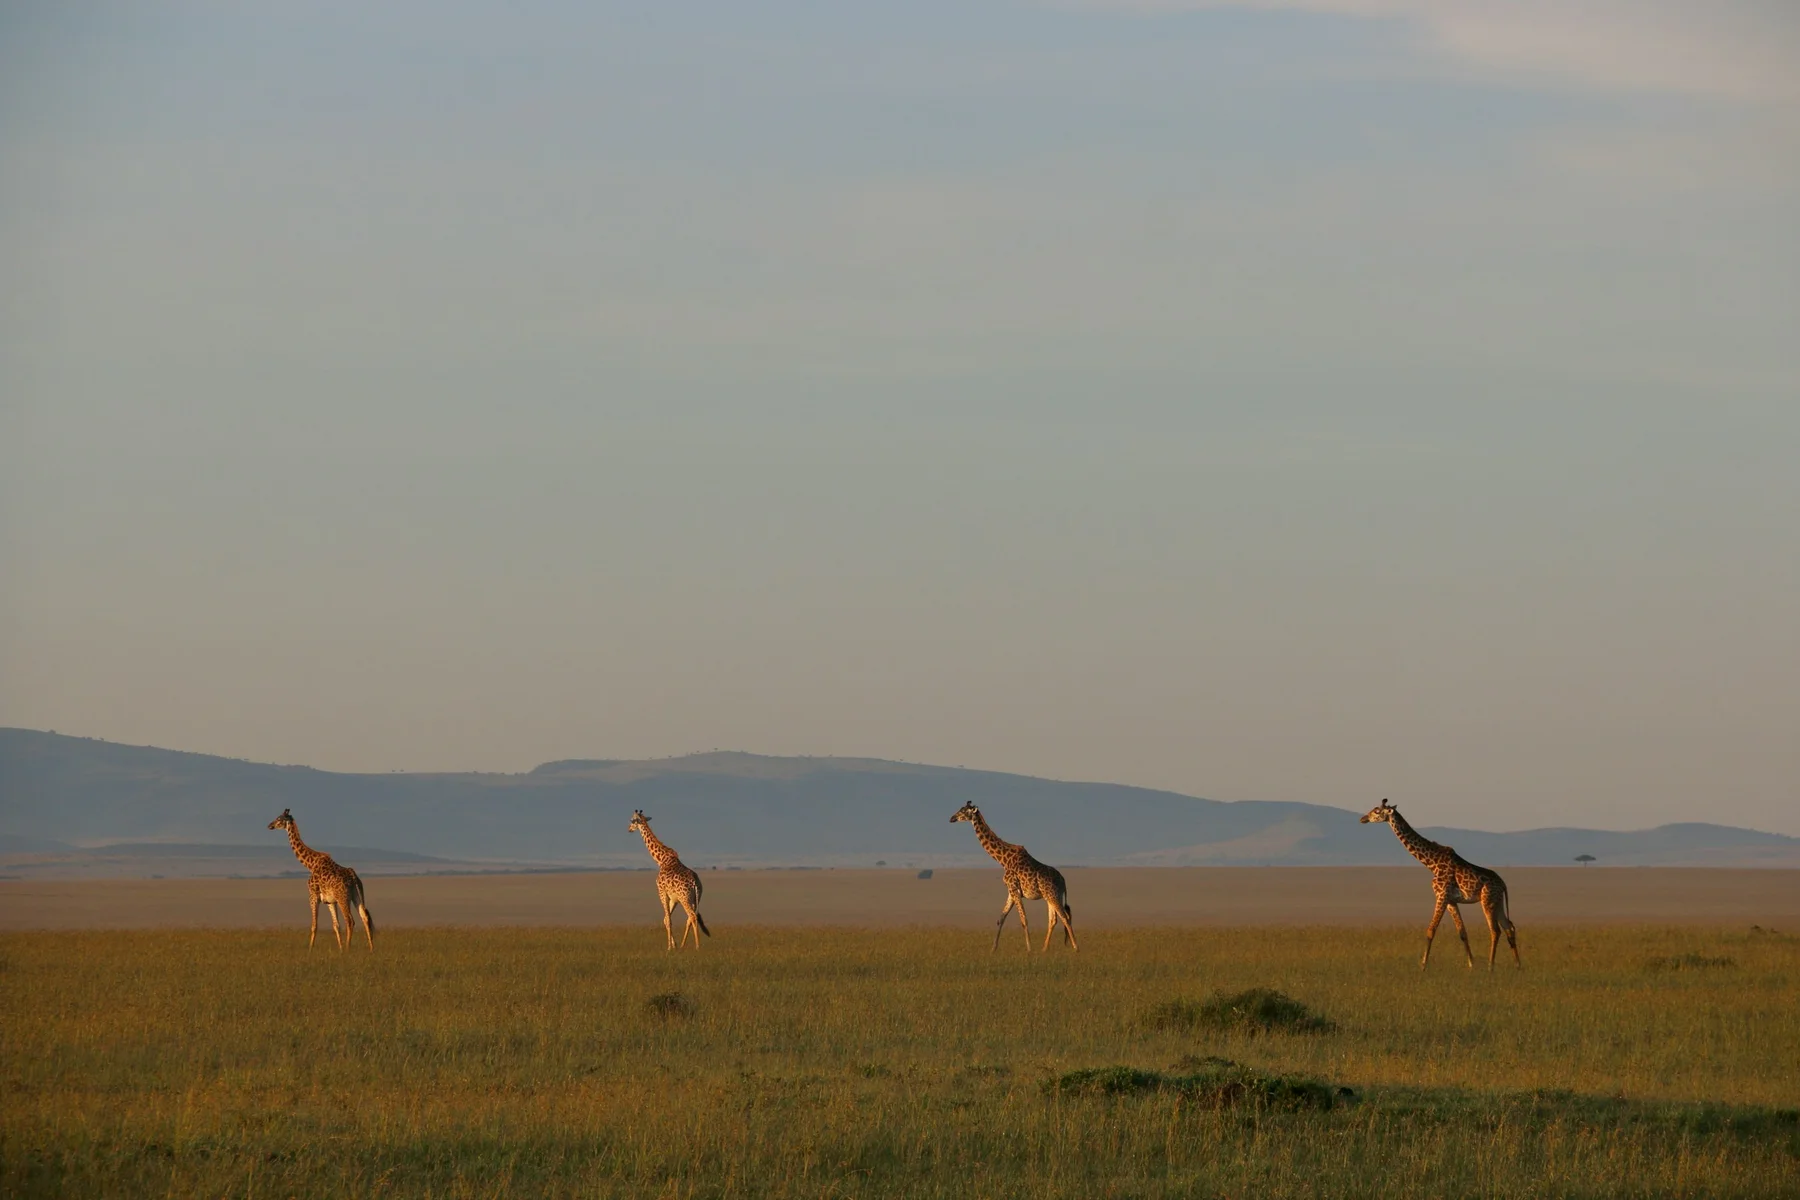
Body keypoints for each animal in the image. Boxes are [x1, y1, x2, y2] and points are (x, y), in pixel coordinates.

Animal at [267, 808, 375, 951]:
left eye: (279, 818)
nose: (269, 825)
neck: (310, 864)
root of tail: (353, 877)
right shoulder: (330, 901)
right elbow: (336, 925)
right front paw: (340, 950)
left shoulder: (313, 895)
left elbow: (314, 925)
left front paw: (310, 950)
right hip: (356, 896)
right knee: (365, 917)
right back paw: (371, 949)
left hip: (343, 897)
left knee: (350, 920)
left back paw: (348, 948)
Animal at [627, 809, 711, 950]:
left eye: (633, 820)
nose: (629, 829)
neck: (661, 860)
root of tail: (695, 883)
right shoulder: (673, 898)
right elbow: (666, 919)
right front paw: (674, 945)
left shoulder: (661, 892)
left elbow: (668, 919)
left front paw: (669, 947)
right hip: (695, 898)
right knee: (690, 917)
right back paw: (682, 945)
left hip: (685, 898)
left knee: (692, 916)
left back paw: (697, 946)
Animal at [949, 800, 1077, 952]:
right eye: (960, 808)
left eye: (963, 811)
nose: (951, 818)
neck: (1003, 860)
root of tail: (1063, 881)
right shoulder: (1011, 891)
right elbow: (1001, 918)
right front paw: (993, 949)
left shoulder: (1014, 889)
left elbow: (1024, 919)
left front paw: (1029, 949)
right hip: (1050, 896)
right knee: (1053, 920)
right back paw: (1044, 949)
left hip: (1052, 894)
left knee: (1065, 917)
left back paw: (1076, 948)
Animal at [1360, 799, 1518, 970]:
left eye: (1377, 811)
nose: (1363, 818)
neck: (1431, 862)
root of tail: (1503, 884)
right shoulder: (1451, 901)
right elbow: (1462, 932)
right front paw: (1471, 965)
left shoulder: (1441, 895)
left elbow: (1431, 930)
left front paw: (1423, 966)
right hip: (1497, 902)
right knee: (1509, 927)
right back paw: (1518, 965)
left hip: (1487, 899)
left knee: (1495, 930)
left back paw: (1490, 967)